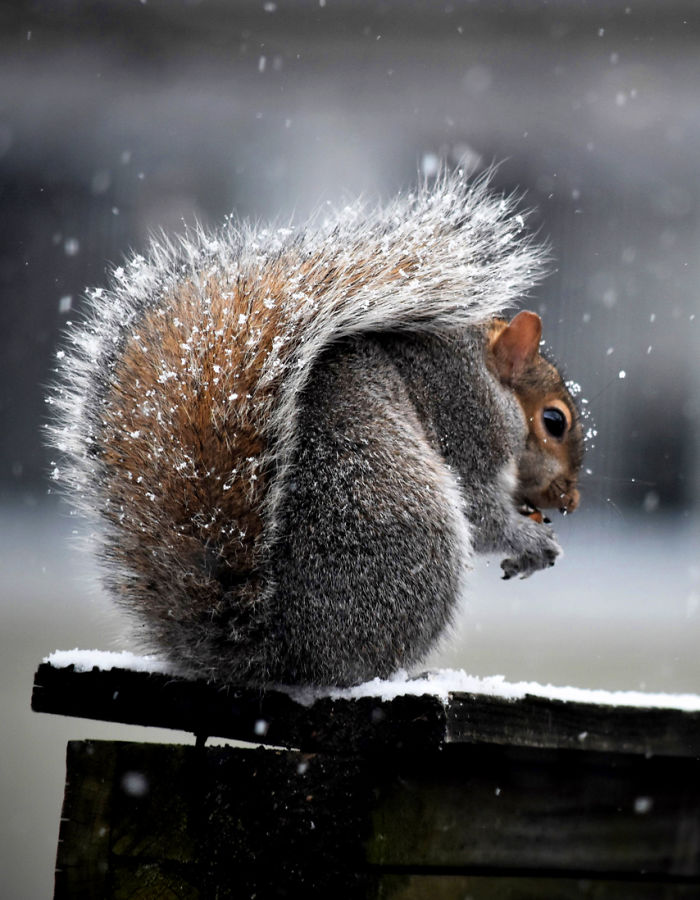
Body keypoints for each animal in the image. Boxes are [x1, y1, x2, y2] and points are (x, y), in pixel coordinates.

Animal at [49, 171, 583, 687]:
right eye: (554, 421)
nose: (571, 499)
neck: (482, 374)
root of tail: (278, 652)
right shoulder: (466, 422)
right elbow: (482, 512)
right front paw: (529, 541)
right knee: (359, 669)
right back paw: (406, 675)